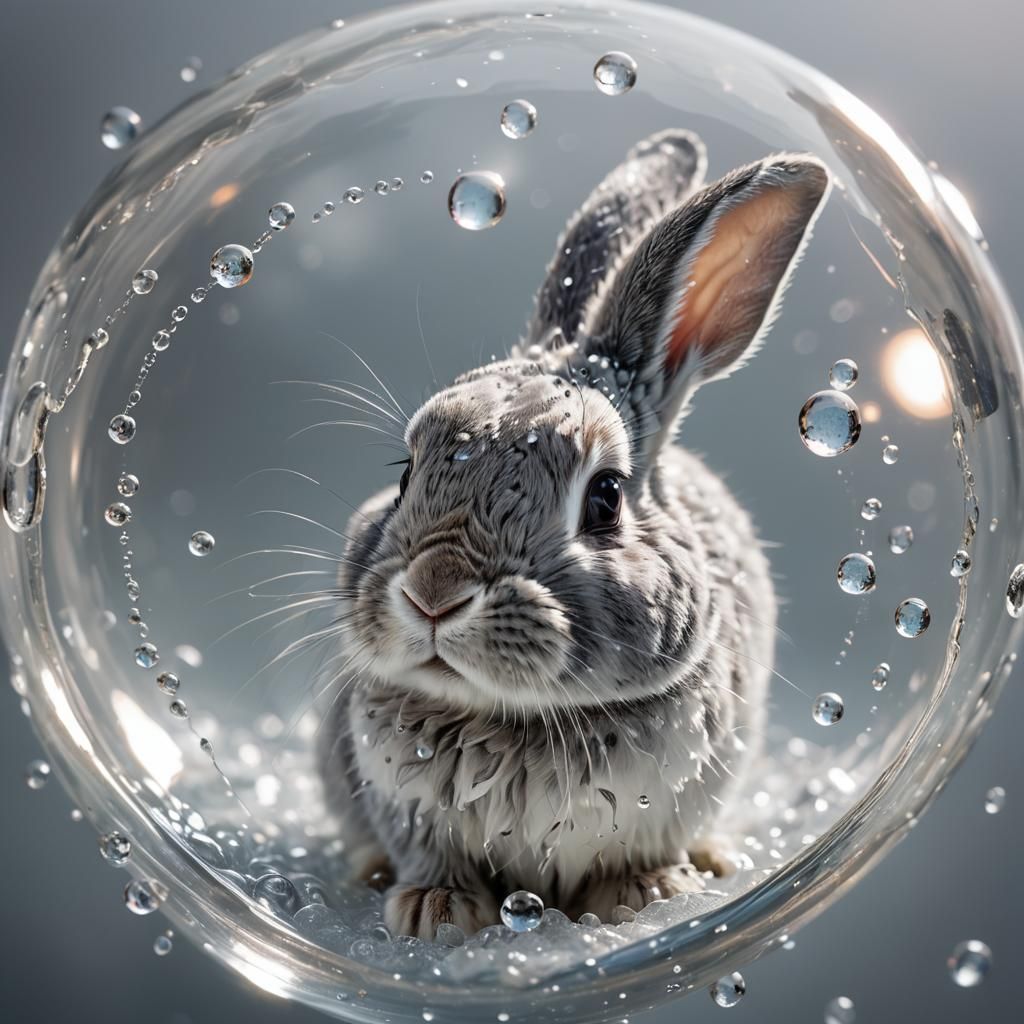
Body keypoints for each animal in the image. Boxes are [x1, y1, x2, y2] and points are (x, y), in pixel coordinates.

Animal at [319, 129, 830, 940]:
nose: (434, 593)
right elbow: (430, 855)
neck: (513, 717)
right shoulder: (399, 800)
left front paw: (642, 897)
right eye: (405, 474)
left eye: (606, 498)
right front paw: (436, 912)